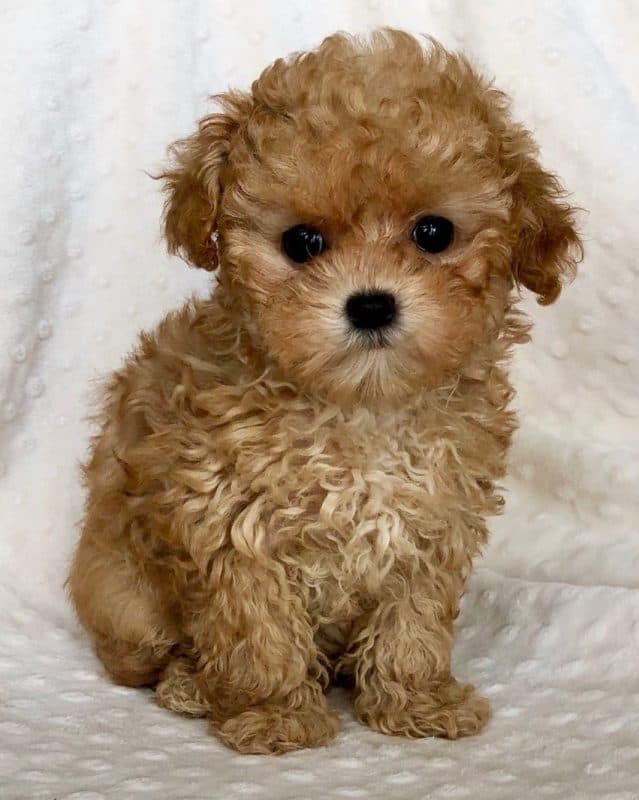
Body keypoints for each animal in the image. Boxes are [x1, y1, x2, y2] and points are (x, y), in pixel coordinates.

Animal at [67, 29, 584, 756]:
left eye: (433, 233)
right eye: (302, 242)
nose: (370, 304)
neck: (358, 412)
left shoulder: (432, 521)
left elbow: (414, 622)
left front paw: (415, 700)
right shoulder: (233, 522)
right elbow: (256, 633)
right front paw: (273, 714)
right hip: (125, 597)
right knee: (147, 657)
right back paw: (193, 685)